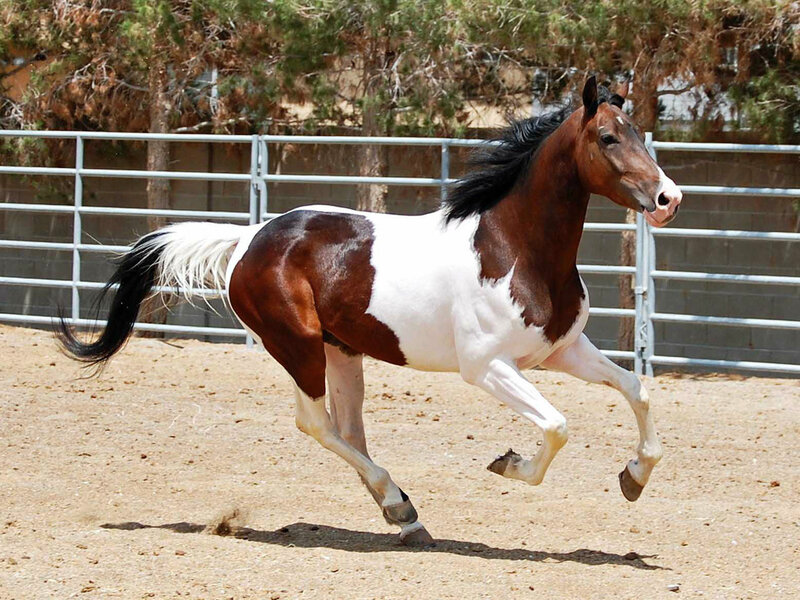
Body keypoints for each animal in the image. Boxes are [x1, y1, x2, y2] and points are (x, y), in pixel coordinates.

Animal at [56, 77, 682, 547]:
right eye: (608, 137)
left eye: (638, 135)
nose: (668, 199)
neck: (513, 249)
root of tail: (250, 239)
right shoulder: (488, 368)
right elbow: (556, 426)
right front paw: (508, 464)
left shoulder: (562, 350)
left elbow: (638, 390)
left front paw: (633, 478)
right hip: (299, 346)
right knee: (317, 423)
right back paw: (400, 508)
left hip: (343, 351)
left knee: (349, 429)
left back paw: (401, 513)